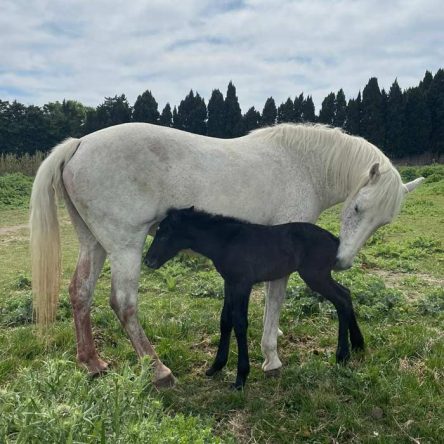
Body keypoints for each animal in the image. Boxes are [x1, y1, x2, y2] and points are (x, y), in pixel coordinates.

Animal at [146, 206, 364, 386]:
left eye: (164, 234)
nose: (148, 261)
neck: (226, 241)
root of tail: (335, 241)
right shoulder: (230, 283)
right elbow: (225, 320)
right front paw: (216, 366)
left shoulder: (243, 284)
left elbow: (240, 323)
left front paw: (241, 377)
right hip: (320, 276)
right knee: (346, 294)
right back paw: (358, 345)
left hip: (315, 276)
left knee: (341, 300)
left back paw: (342, 354)